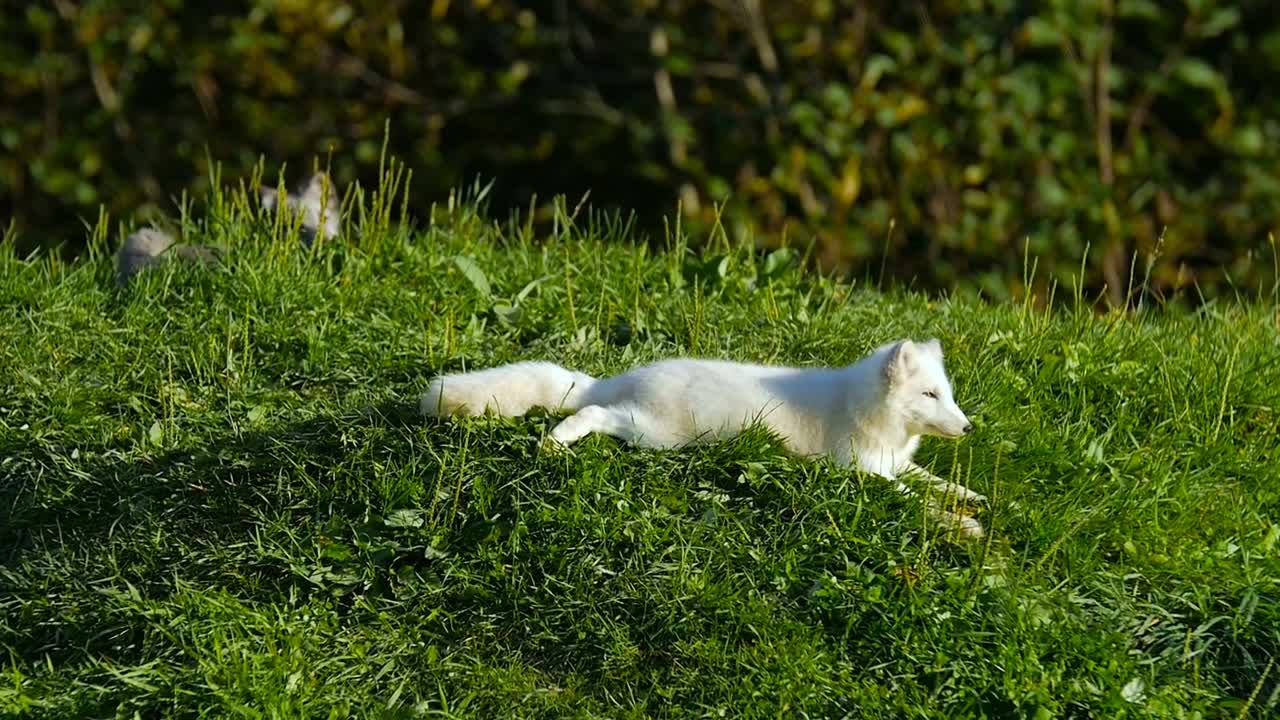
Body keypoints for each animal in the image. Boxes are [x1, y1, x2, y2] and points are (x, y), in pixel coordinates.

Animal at [424, 338, 983, 535]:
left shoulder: (892, 462)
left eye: (949, 395)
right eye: (930, 394)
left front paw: (975, 498)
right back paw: (557, 440)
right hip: (653, 435)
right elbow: (913, 499)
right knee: (594, 413)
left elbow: (933, 481)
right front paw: (964, 526)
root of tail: (619, 378)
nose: (968, 427)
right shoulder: (861, 474)